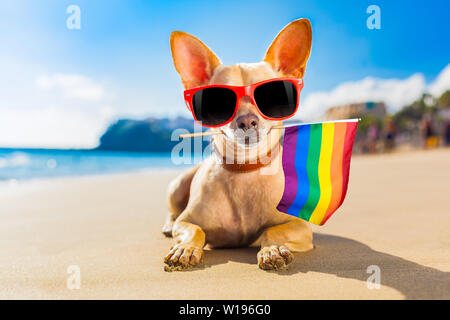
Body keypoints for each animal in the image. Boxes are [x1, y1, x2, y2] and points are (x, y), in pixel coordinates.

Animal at [163, 18, 314, 272]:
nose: (247, 120)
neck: (245, 168)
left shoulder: (301, 227)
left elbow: (272, 231)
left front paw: (272, 249)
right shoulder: (187, 221)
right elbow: (195, 229)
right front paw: (186, 248)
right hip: (177, 186)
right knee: (173, 213)